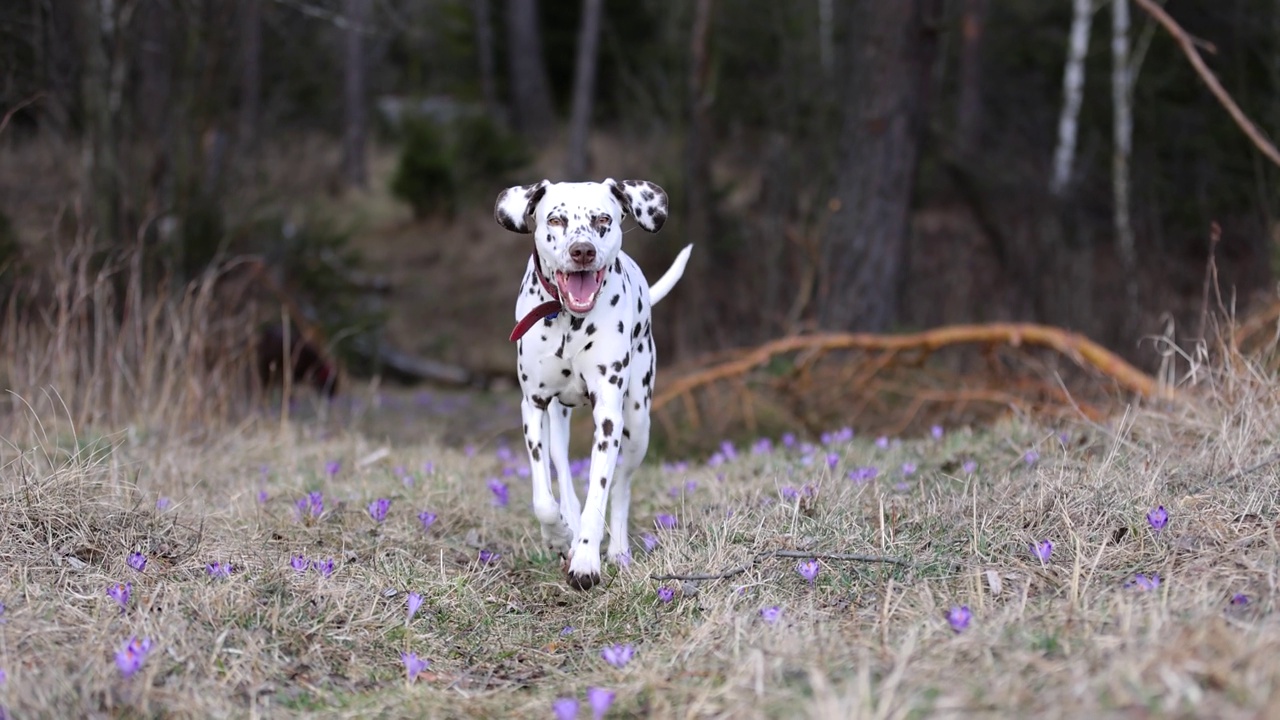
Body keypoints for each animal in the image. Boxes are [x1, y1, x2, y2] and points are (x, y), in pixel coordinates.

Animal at [491, 176, 691, 586]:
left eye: (603, 219)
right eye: (555, 219)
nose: (582, 250)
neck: (568, 319)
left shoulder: (609, 417)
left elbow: (600, 493)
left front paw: (585, 559)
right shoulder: (533, 406)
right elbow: (543, 498)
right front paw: (558, 535)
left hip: (638, 425)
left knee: (622, 486)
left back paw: (617, 550)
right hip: (557, 423)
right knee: (562, 471)